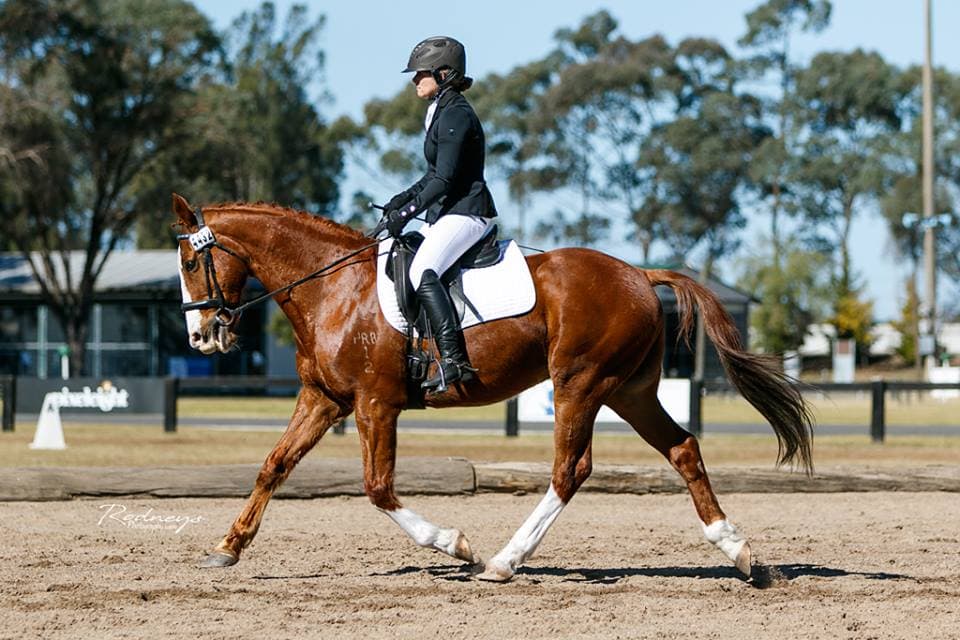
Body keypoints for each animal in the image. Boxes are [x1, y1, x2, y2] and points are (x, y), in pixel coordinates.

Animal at [172, 193, 813, 582]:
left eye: (189, 263)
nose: (202, 337)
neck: (334, 289)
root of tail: (638, 272)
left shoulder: (375, 404)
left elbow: (378, 488)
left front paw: (454, 543)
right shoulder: (324, 400)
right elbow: (273, 466)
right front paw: (227, 548)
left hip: (580, 383)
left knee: (570, 471)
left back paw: (504, 561)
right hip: (628, 390)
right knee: (682, 448)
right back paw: (741, 553)